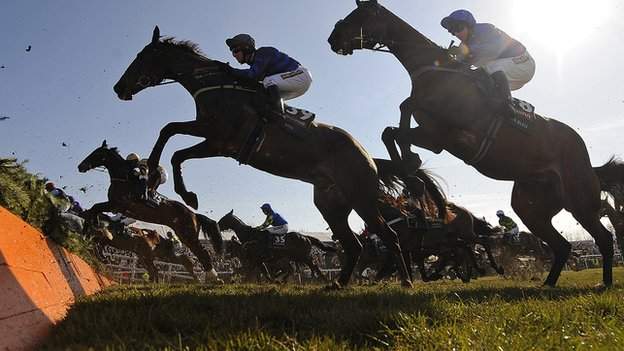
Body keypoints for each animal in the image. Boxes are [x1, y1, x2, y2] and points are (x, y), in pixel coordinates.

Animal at [77, 141, 223, 284]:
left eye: (97, 153)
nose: (80, 166)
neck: (124, 179)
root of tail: (194, 215)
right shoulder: (116, 207)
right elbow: (94, 210)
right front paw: (90, 230)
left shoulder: (117, 205)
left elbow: (95, 208)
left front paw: (92, 229)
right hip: (179, 238)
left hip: (188, 235)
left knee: (202, 253)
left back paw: (214, 278)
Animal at [326, 0, 624, 288]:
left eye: (360, 15)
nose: (333, 38)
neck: (437, 71)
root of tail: (588, 160)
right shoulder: (434, 135)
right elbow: (392, 130)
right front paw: (412, 171)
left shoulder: (446, 133)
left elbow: (403, 112)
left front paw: (413, 172)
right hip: (531, 206)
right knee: (561, 246)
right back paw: (548, 284)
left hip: (579, 199)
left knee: (603, 238)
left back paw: (605, 283)